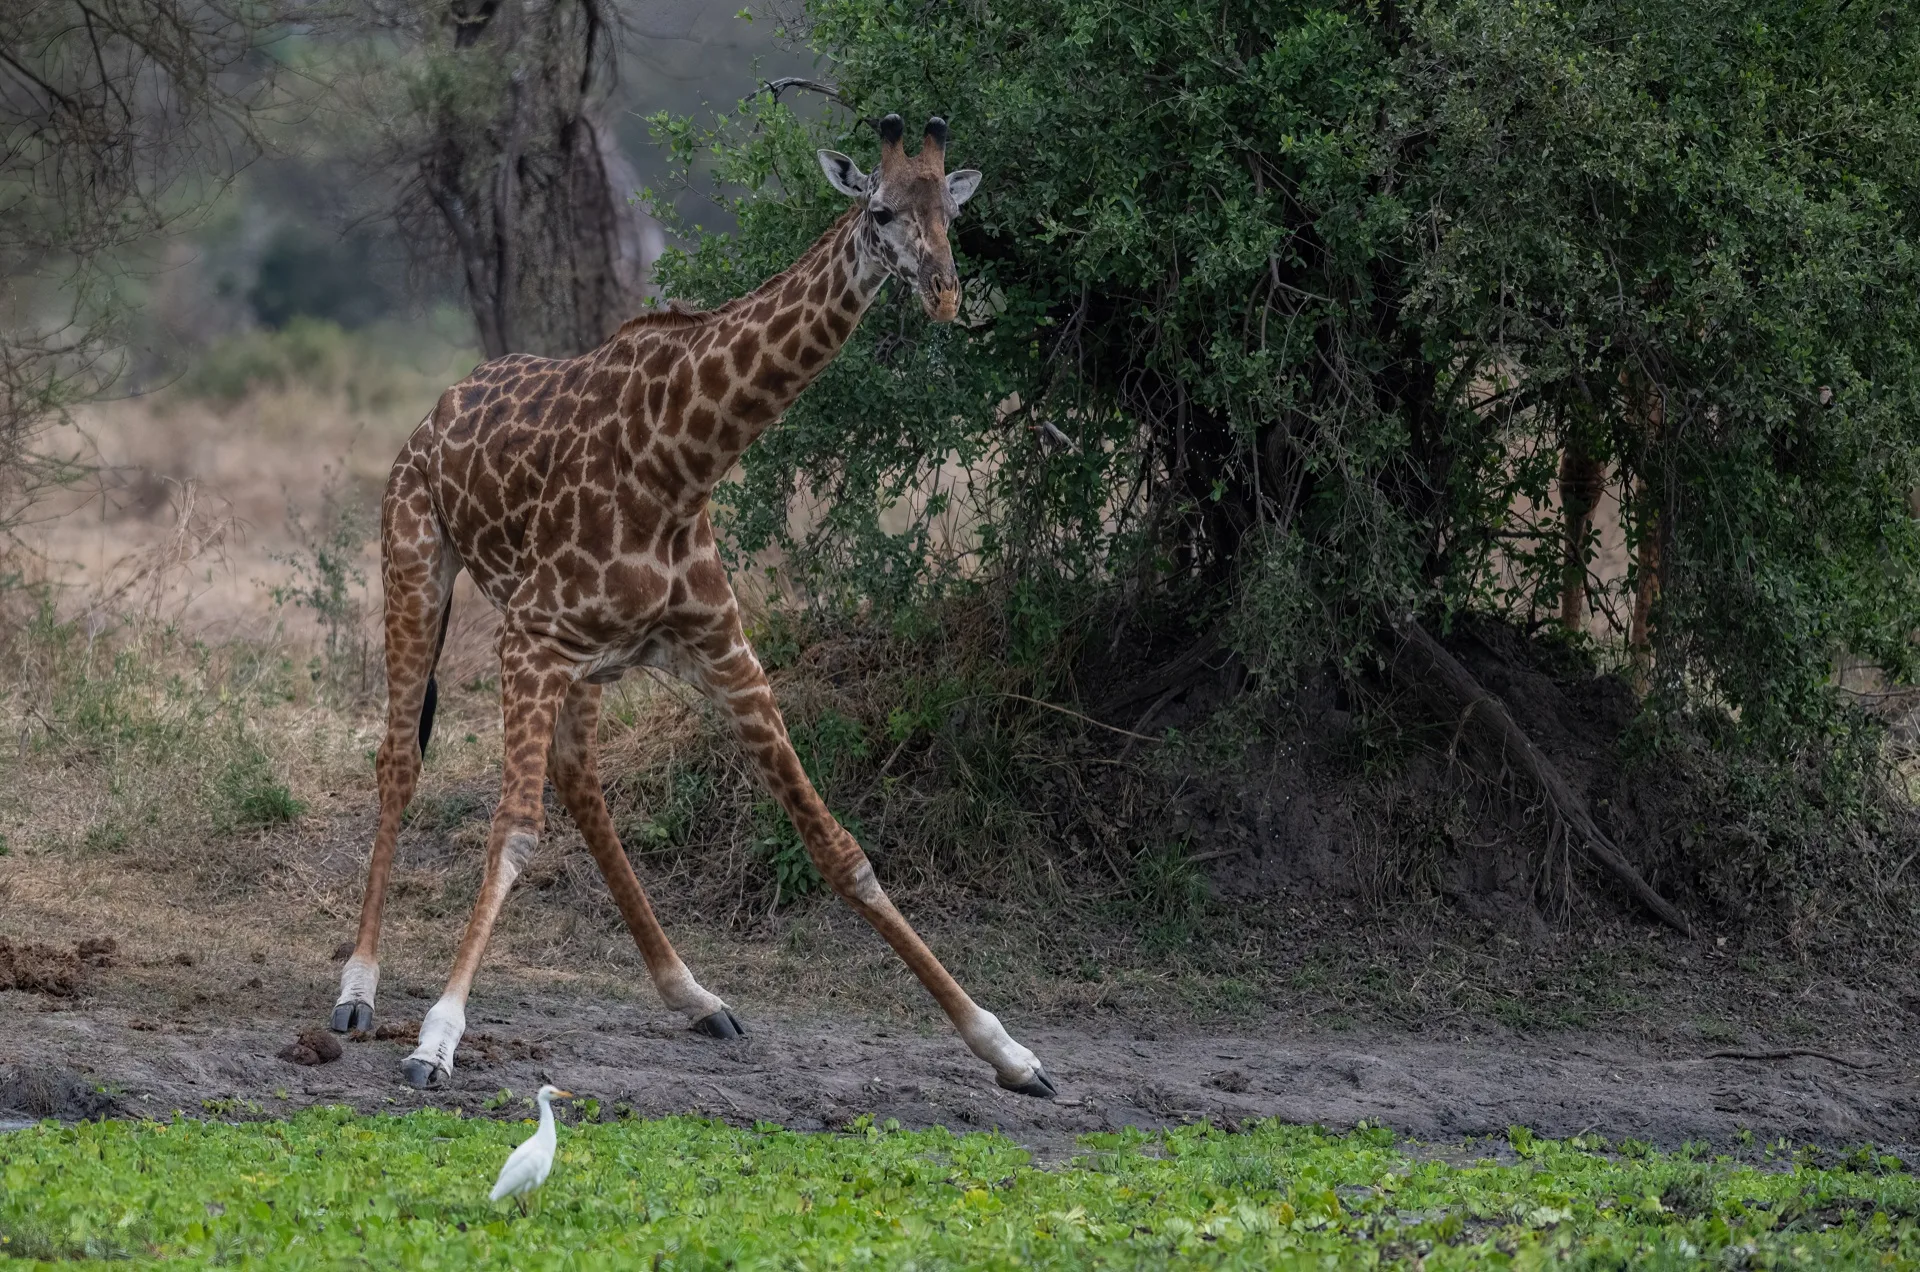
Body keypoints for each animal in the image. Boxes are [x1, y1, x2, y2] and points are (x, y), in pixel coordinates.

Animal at [327, 113, 1054, 1098]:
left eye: (954, 213)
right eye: (879, 211)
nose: (943, 294)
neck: (684, 462)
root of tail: (437, 409)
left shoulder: (724, 651)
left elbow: (839, 848)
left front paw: (1007, 1049)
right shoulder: (530, 637)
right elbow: (513, 833)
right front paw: (436, 1037)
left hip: (587, 665)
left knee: (580, 781)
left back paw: (695, 995)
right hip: (415, 563)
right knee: (401, 759)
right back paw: (357, 990)